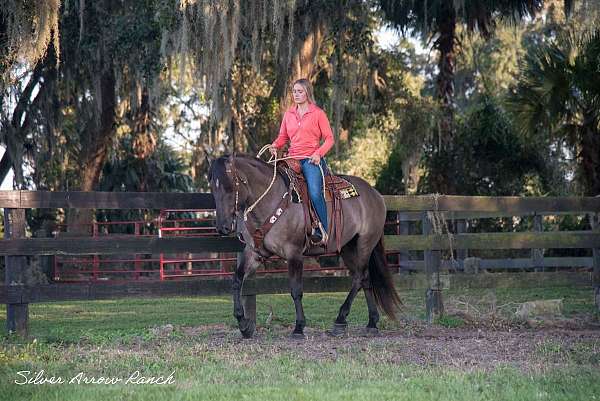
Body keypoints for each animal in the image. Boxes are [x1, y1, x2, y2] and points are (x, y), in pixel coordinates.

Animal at [207, 153, 404, 338]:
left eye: (229, 187)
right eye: (213, 189)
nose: (223, 227)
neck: (271, 199)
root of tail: (375, 194)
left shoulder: (294, 253)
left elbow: (296, 290)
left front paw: (299, 328)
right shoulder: (255, 253)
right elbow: (237, 280)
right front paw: (244, 324)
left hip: (365, 243)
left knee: (359, 277)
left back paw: (340, 320)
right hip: (348, 247)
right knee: (365, 279)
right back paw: (371, 323)